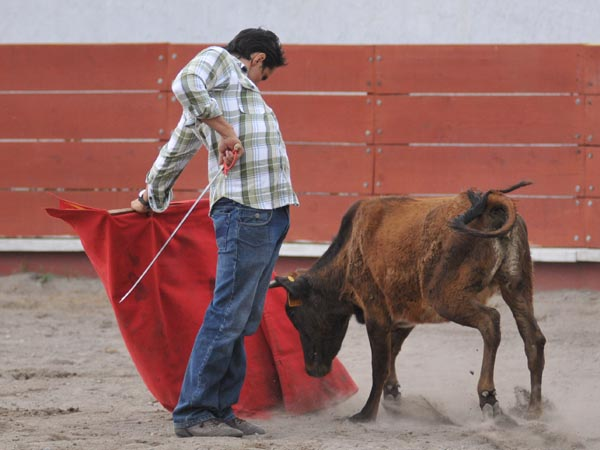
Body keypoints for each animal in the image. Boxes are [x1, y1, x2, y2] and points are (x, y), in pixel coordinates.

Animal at [270, 181, 548, 420]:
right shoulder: (406, 313)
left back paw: (488, 397)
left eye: (296, 316)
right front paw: (392, 394)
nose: (311, 370)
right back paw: (533, 410)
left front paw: (366, 414)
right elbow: (394, 349)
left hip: (445, 298)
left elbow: (380, 362)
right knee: (533, 338)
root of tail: (491, 202)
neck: (349, 253)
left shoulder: (376, 311)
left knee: (491, 321)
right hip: (517, 287)